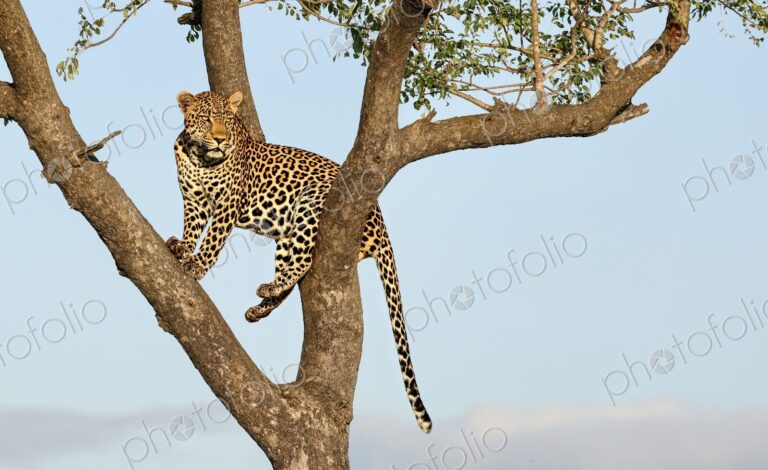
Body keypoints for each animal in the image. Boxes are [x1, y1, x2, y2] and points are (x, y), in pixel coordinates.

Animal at [166, 90, 432, 433]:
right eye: (206, 118)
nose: (221, 140)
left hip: (311, 202)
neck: (200, 158)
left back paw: (268, 290)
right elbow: (193, 227)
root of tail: (379, 216)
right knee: (288, 275)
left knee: (303, 261)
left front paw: (197, 265)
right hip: (287, 232)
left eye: (228, 121)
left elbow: (212, 237)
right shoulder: (194, 200)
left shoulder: (227, 205)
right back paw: (261, 305)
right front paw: (183, 247)